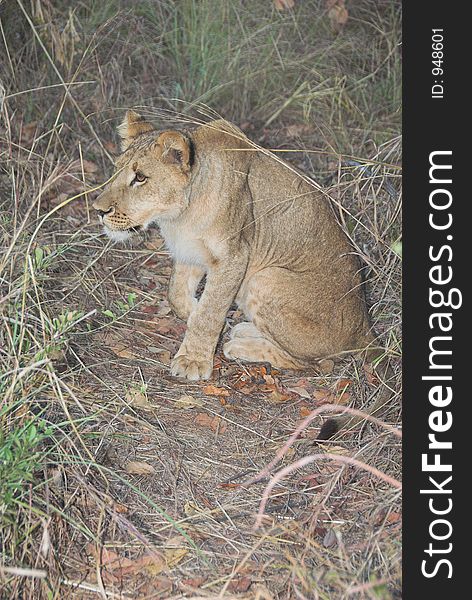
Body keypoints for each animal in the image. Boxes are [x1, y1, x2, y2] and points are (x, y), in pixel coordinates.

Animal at [93, 110, 394, 436]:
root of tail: (364, 328)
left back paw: (240, 346)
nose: (98, 210)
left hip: (266, 278)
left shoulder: (234, 256)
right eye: (116, 171)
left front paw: (192, 360)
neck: (179, 215)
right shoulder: (191, 251)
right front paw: (199, 319)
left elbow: (208, 313)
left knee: (317, 364)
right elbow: (178, 296)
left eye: (140, 177)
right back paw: (242, 330)